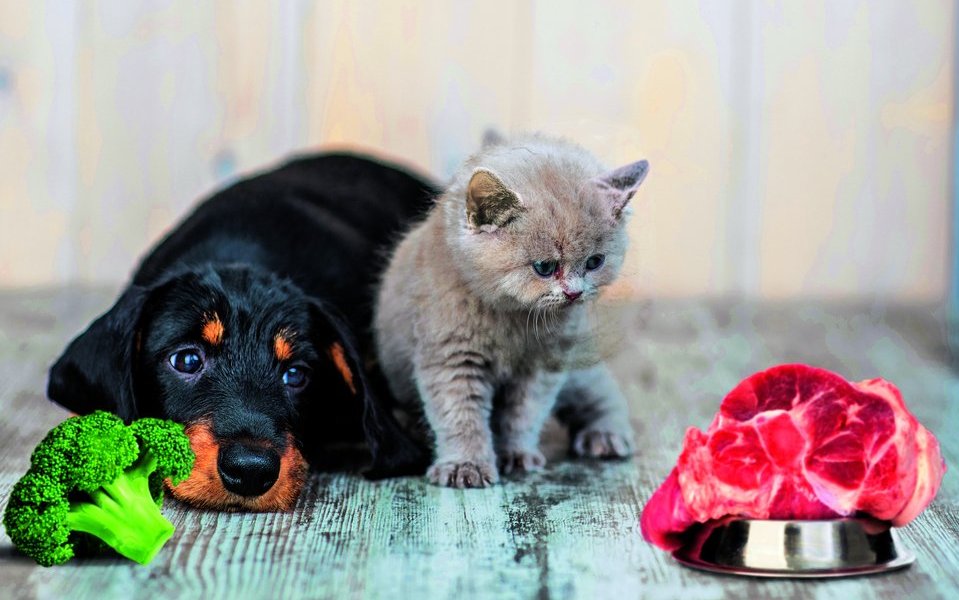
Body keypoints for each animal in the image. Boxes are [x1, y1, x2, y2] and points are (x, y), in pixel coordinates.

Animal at [372, 132, 648, 488]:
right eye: (544, 267)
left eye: (594, 262)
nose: (574, 293)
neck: (512, 320)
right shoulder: (450, 356)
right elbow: (459, 415)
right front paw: (466, 465)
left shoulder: (545, 365)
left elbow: (524, 414)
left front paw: (516, 455)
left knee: (599, 388)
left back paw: (607, 434)